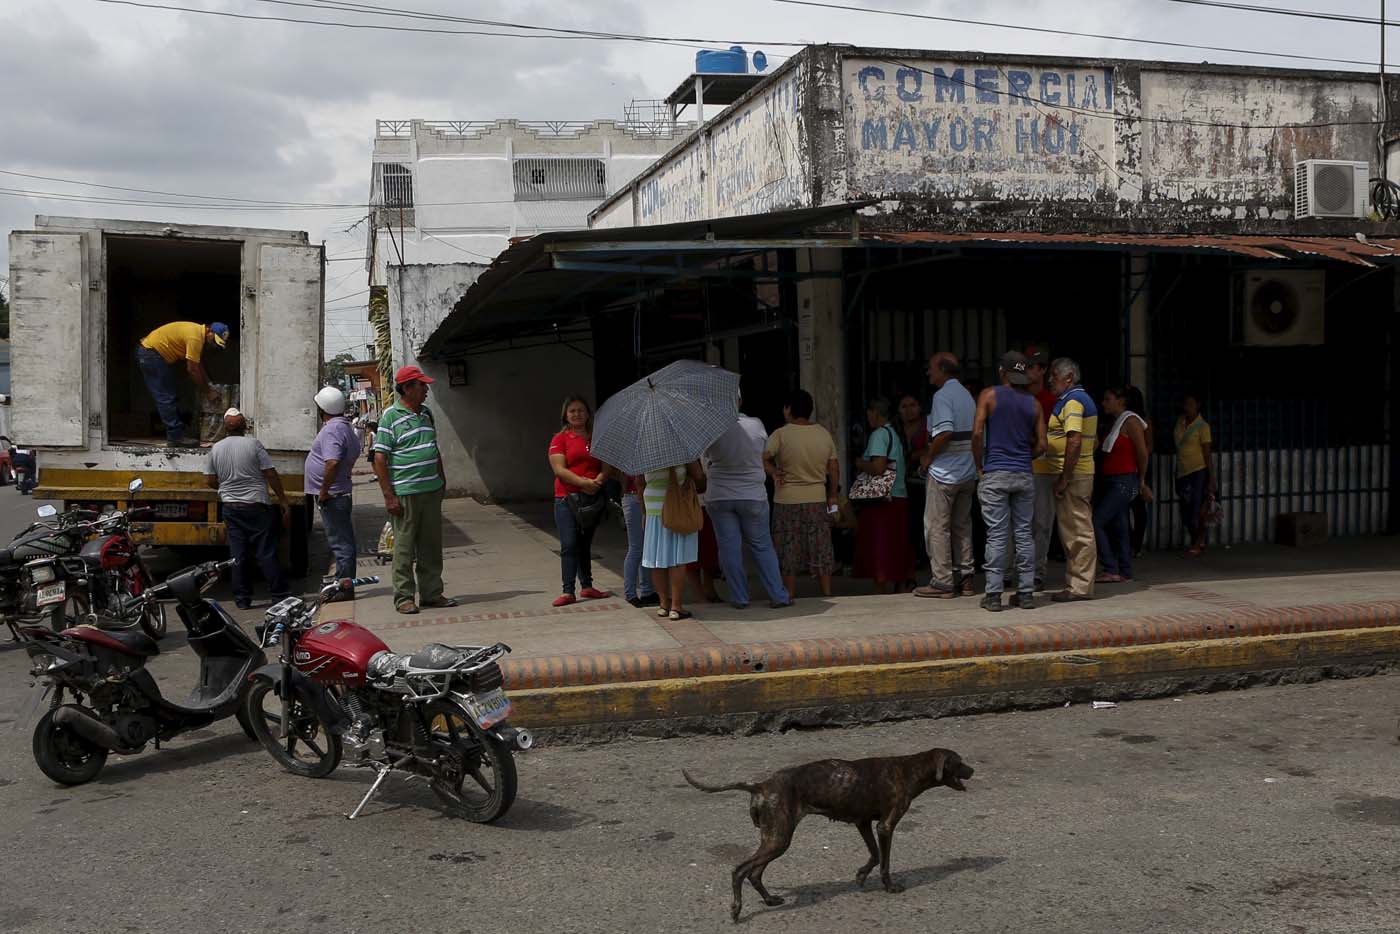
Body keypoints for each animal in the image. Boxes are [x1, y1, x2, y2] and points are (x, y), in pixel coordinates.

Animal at [686, 750, 974, 924]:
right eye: (959, 762)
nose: (973, 771)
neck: (910, 767)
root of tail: (761, 785)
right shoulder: (885, 826)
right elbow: (885, 863)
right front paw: (889, 887)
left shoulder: (863, 823)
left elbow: (874, 855)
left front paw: (861, 875)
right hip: (779, 839)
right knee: (740, 870)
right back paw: (736, 910)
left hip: (774, 838)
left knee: (754, 873)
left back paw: (769, 900)